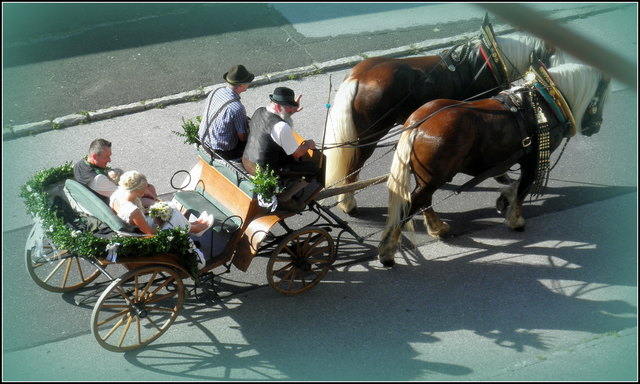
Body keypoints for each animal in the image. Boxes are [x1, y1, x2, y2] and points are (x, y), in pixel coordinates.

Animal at [322, 32, 556, 213]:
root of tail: (358, 76)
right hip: (370, 135)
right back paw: (348, 204)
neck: (490, 61)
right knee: (354, 167)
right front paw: (502, 174)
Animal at [378, 63, 612, 268]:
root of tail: (417, 123)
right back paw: (387, 252)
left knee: (423, 201)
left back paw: (437, 228)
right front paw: (515, 220)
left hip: (427, 178)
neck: (545, 103)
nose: (597, 125)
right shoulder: (532, 160)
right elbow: (524, 188)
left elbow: (517, 185)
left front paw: (504, 198)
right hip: (434, 178)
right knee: (411, 206)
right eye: (601, 97)